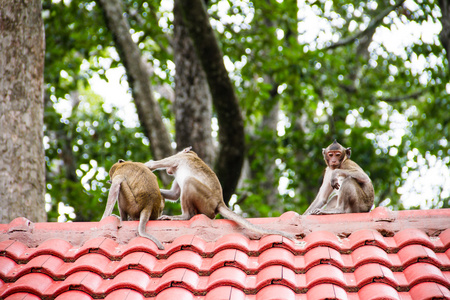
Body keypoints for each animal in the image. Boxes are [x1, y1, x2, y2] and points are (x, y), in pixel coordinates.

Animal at [145, 146, 298, 243]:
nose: (169, 171)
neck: (191, 154)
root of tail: (219, 202)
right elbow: (174, 194)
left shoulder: (179, 158)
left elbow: (153, 165)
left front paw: (148, 165)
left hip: (206, 201)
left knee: (189, 182)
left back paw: (185, 216)